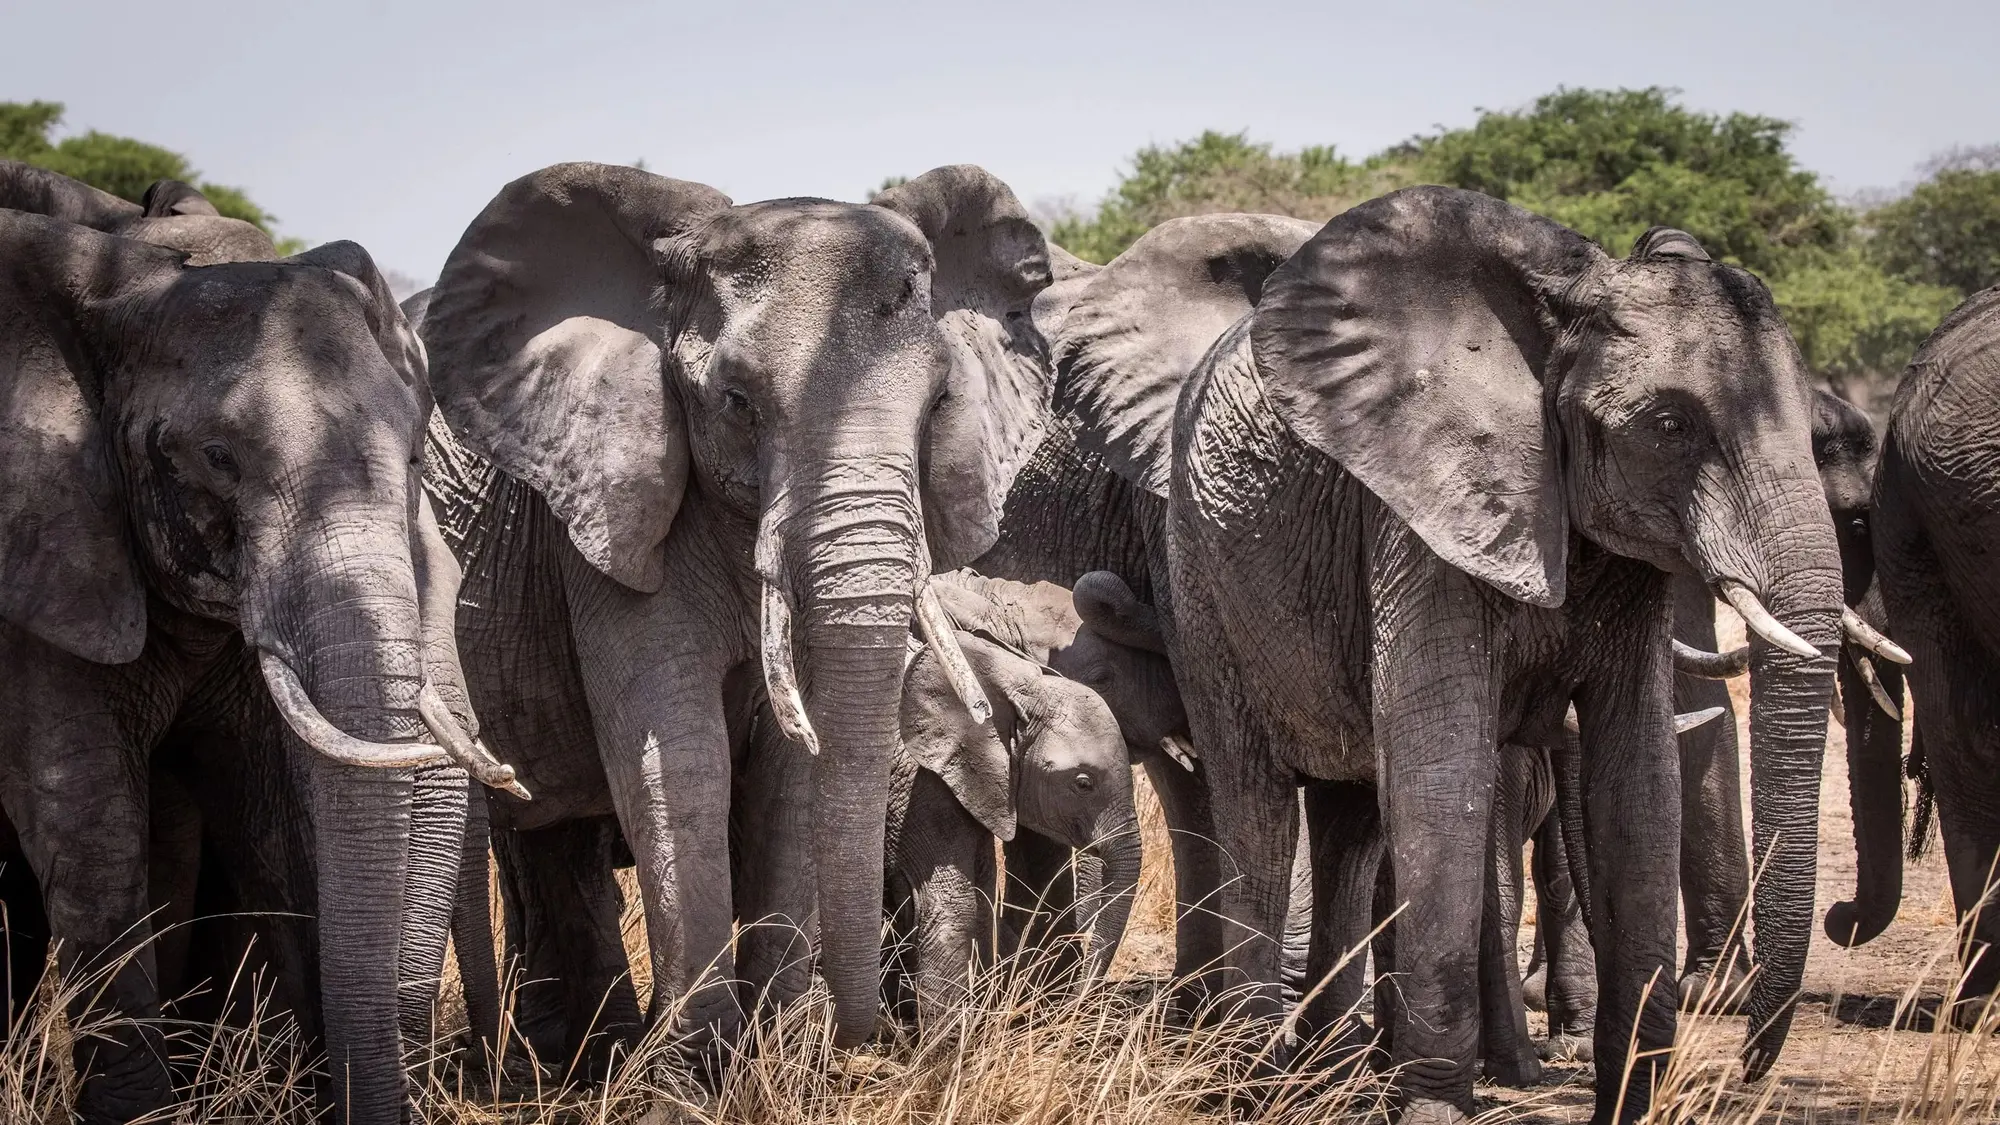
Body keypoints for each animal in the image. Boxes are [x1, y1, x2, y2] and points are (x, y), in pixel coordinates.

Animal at [0, 184, 517, 1123]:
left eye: (414, 454)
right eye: (217, 457)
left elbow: (268, 819)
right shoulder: (45, 558)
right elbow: (88, 827)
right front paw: (140, 1110)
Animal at [414, 161, 1057, 1062]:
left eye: (938, 406)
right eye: (737, 401)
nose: (866, 1036)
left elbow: (792, 773)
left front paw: (779, 1060)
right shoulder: (610, 509)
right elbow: (679, 753)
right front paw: (689, 1073)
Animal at [1136, 193, 1841, 1123]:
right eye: (1669, 426)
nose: (1752, 1062)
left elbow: (1639, 779)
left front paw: (1626, 1098)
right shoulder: (1422, 514)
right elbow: (1445, 772)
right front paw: (1436, 1108)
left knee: (1350, 822)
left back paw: (1325, 1078)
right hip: (1198, 576)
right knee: (1254, 799)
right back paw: (1249, 1085)